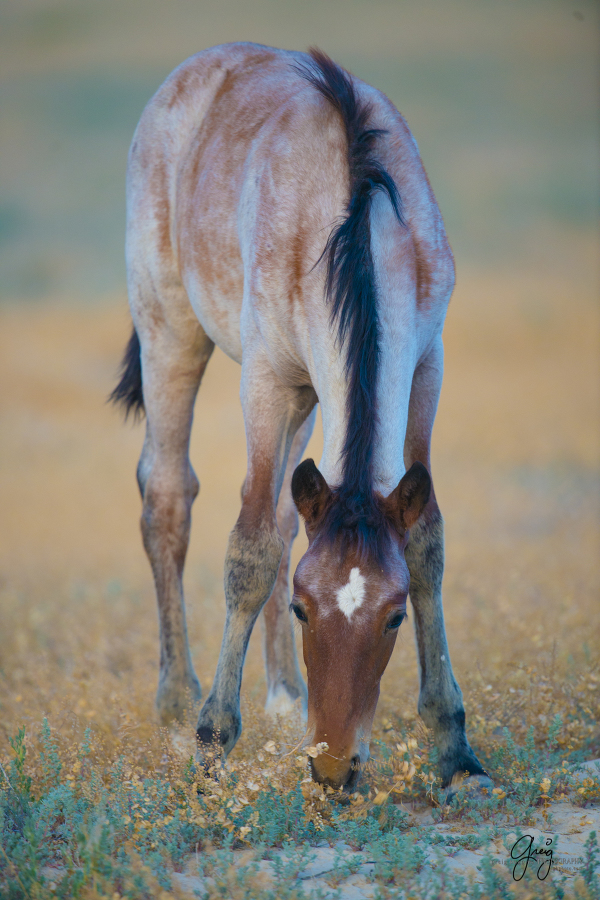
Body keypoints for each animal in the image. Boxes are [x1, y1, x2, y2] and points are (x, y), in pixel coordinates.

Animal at [111, 42, 491, 796]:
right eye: (302, 607)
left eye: (394, 615)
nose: (335, 769)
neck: (357, 220)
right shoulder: (268, 383)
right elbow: (250, 547)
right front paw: (212, 741)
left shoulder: (425, 365)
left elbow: (425, 541)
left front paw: (453, 744)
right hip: (171, 332)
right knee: (167, 494)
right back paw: (176, 700)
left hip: (315, 399)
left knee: (290, 514)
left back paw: (285, 696)